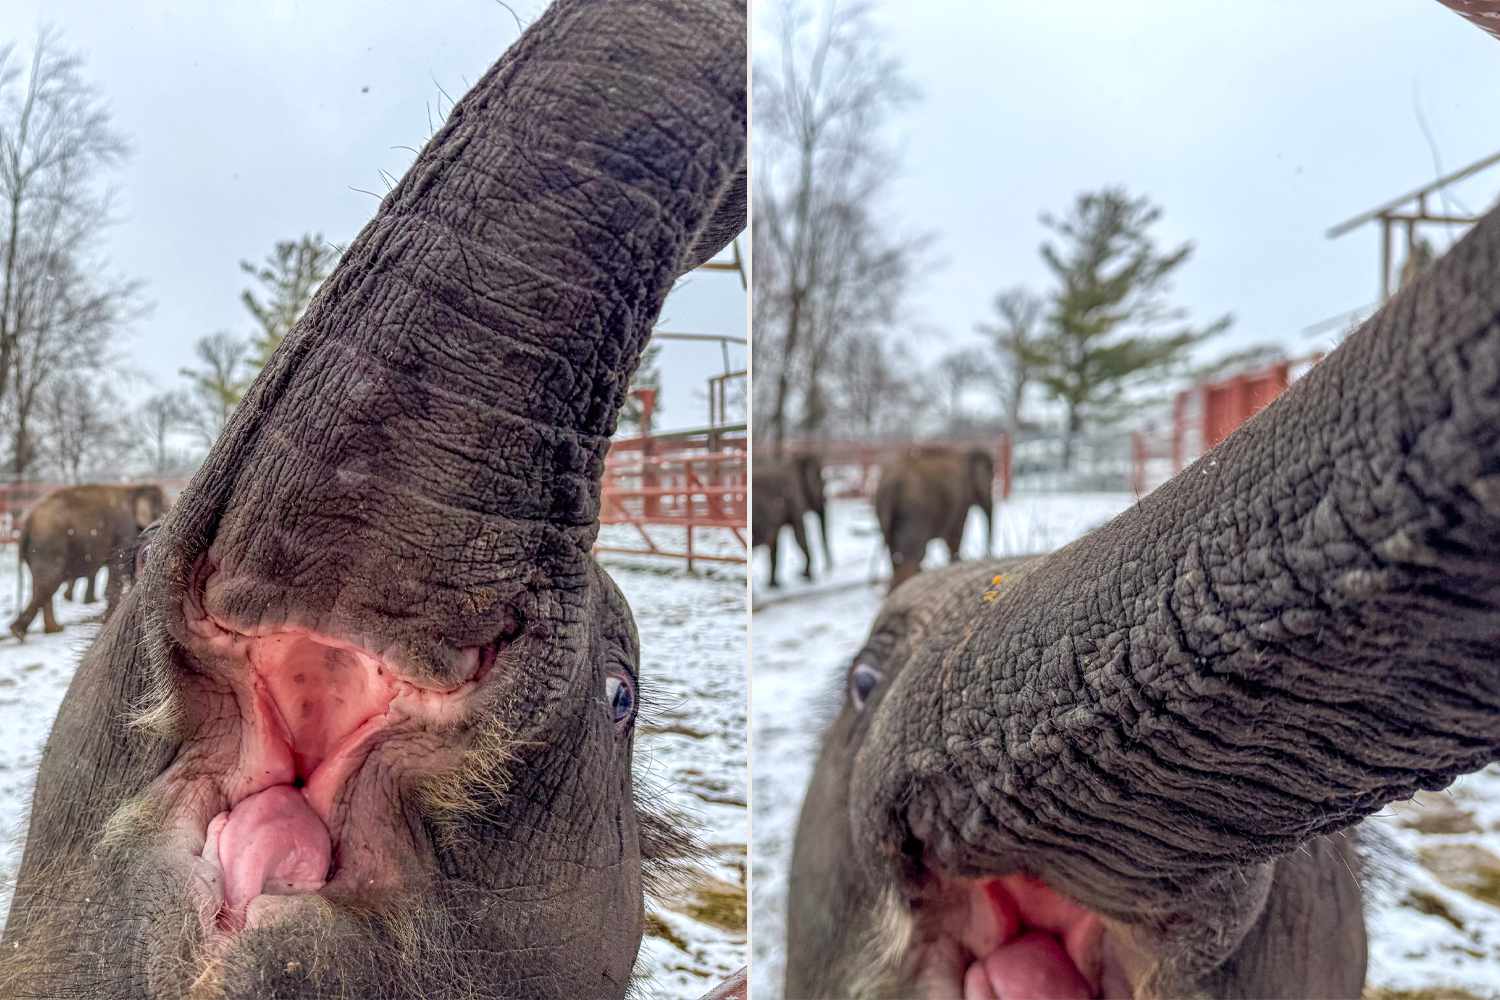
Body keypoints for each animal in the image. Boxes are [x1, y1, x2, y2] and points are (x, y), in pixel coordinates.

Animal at [8, 482, 166, 638]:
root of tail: (26, 523)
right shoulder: (124, 532)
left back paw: (50, 630)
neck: (136, 488)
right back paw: (21, 632)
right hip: (48, 546)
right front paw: (106, 621)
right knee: (48, 583)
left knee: (44, 586)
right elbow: (117, 571)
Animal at [750, 464, 822, 593]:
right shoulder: (793, 497)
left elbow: (775, 544)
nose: (799, 574)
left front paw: (774, 586)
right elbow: (799, 536)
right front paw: (808, 577)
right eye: (819, 482)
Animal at [870, 443, 996, 590]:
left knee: (895, 555)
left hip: (884, 514)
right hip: (916, 511)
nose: (987, 555)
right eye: (990, 481)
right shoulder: (961, 500)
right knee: (913, 555)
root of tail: (892, 484)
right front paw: (955, 561)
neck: (966, 453)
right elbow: (955, 535)